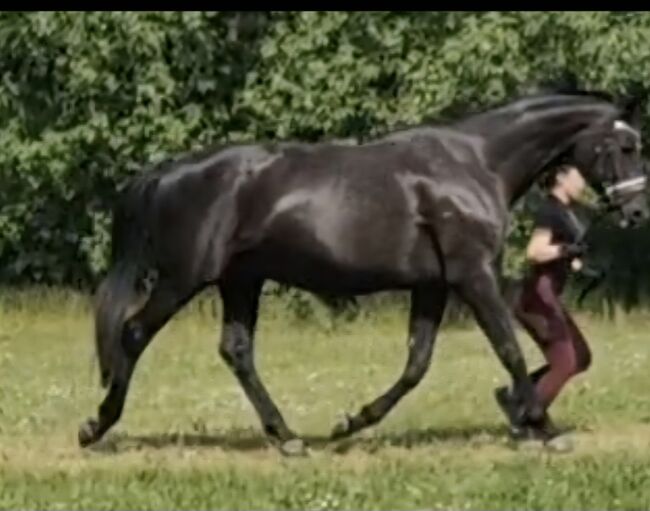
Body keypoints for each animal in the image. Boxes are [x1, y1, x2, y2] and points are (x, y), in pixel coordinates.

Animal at [78, 90, 649, 456]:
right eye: (624, 145)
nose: (638, 211)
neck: (475, 163)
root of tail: (169, 171)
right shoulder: (472, 275)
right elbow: (509, 349)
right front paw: (545, 429)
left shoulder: (432, 285)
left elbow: (417, 364)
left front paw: (351, 422)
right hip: (184, 279)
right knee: (133, 334)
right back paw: (95, 427)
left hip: (241, 281)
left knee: (236, 351)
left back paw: (288, 438)